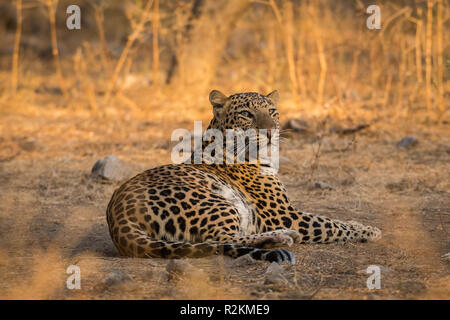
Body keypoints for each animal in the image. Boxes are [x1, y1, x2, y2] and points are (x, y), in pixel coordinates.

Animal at [107, 89, 382, 262]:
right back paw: (282, 236)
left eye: (272, 112)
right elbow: (330, 224)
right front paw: (369, 230)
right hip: (215, 202)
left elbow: (332, 219)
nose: (270, 131)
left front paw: (361, 225)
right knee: (223, 239)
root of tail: (117, 216)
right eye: (247, 114)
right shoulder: (285, 214)